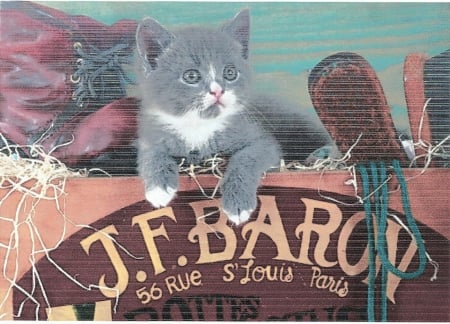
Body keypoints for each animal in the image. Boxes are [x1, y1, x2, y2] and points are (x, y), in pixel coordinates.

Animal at [132, 8, 336, 225]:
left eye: (230, 72)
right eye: (191, 76)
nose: (218, 91)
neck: (198, 125)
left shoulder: (260, 139)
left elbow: (246, 157)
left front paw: (238, 204)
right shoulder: (151, 132)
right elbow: (151, 154)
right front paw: (158, 187)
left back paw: (321, 153)